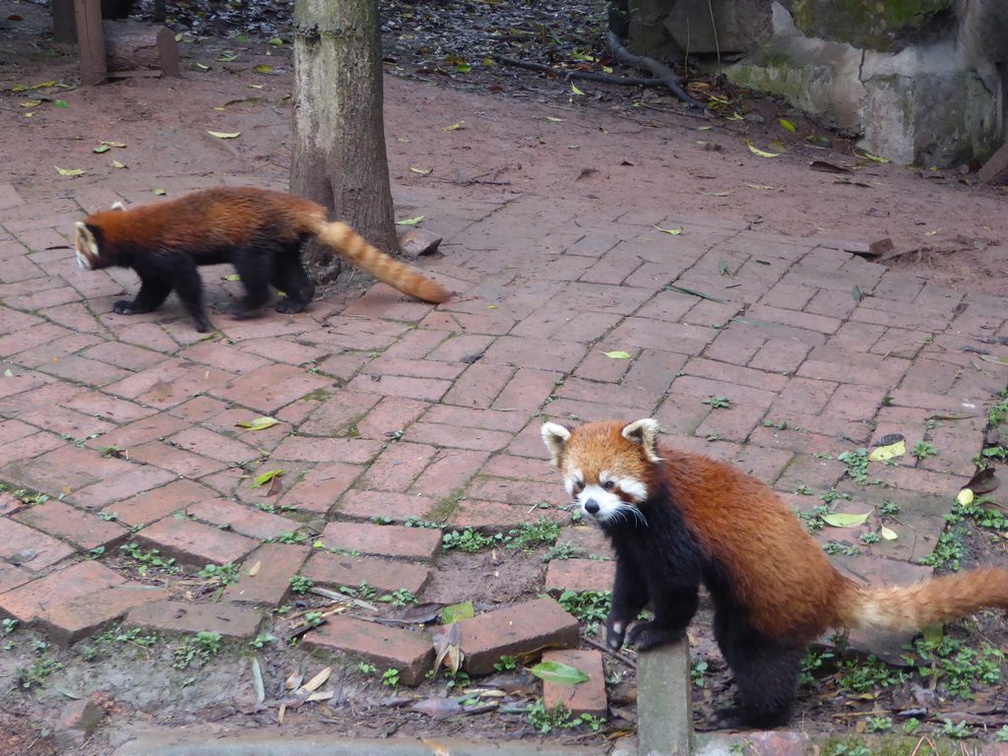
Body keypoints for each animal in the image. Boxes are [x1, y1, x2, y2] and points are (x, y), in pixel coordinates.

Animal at [78, 186, 453, 330]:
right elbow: (153, 288)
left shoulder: (168, 253)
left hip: (254, 240)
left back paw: (247, 305)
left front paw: (200, 322)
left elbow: (186, 282)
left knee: (255, 274)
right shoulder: (151, 263)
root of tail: (299, 208)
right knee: (287, 273)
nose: (77, 263)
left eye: (79, 249)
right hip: (282, 243)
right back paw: (297, 300)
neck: (134, 230)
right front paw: (132, 306)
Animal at [544, 417, 1008, 729]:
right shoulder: (631, 541)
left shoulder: (673, 529)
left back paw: (752, 716)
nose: (592, 507)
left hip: (773, 612)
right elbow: (631, 581)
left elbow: (677, 591)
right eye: (580, 484)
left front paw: (656, 631)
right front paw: (617, 627)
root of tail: (829, 584)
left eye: (610, 483)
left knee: (760, 663)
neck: (637, 518)